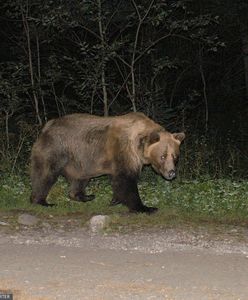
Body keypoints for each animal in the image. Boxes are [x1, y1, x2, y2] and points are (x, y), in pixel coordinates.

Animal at [30, 112, 184, 213]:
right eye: (163, 156)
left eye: (175, 157)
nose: (171, 173)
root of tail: (48, 125)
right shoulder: (123, 152)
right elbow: (126, 180)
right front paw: (145, 207)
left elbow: (118, 182)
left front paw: (114, 200)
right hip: (57, 148)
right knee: (45, 174)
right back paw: (41, 201)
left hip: (80, 160)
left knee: (80, 178)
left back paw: (85, 196)